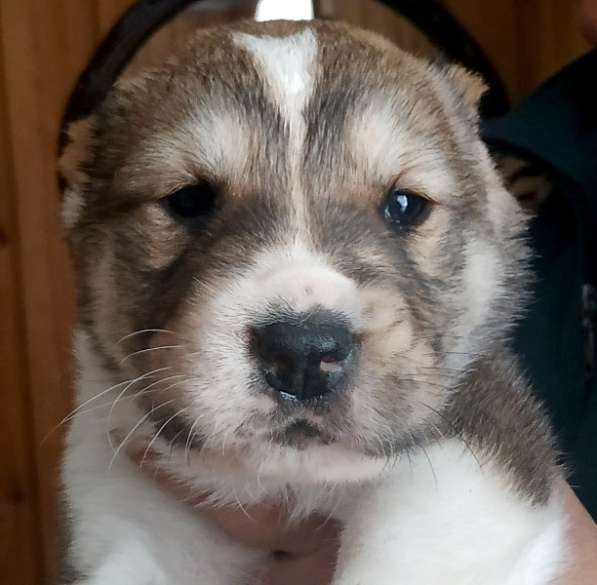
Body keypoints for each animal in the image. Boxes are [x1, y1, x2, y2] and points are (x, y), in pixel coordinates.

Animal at [59, 19, 568, 584]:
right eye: (188, 200)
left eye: (406, 204)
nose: (301, 353)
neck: (294, 482)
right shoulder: (130, 511)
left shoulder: (482, 448)